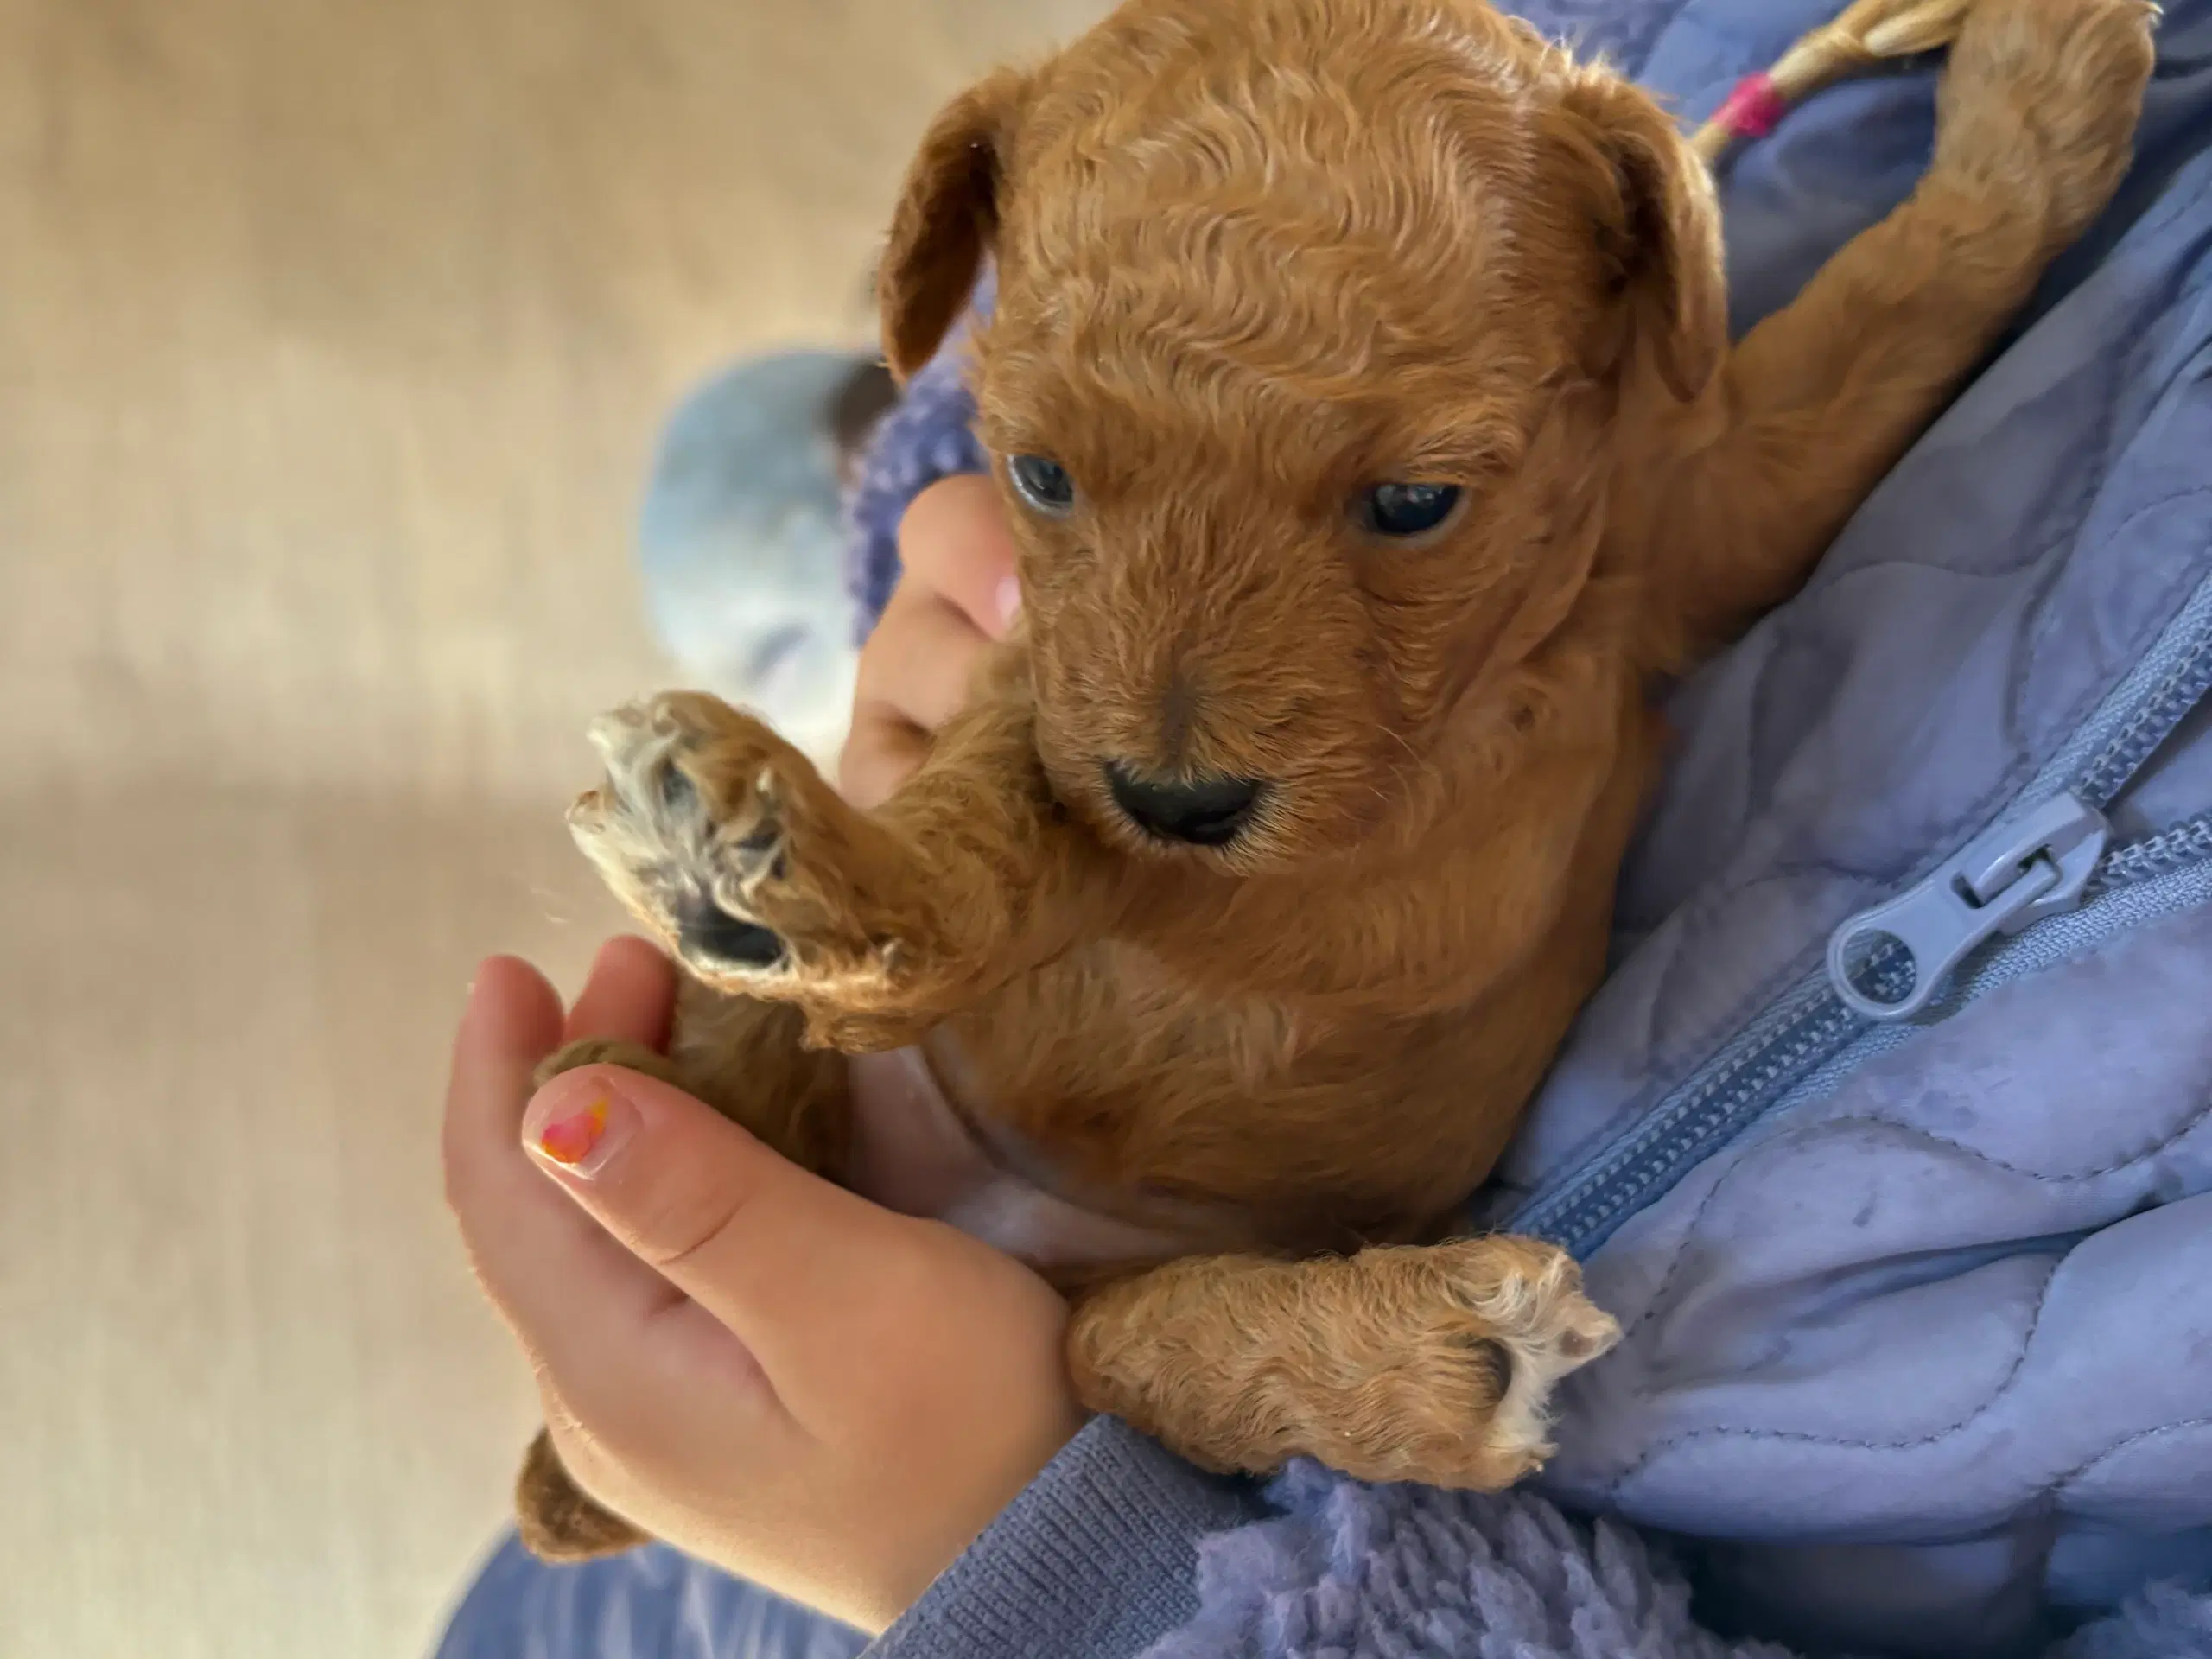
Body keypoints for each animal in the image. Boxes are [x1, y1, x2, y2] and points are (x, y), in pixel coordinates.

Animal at [512, 0, 2141, 1557]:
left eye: (1415, 503)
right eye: (1038, 478)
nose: (1178, 805)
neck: (1487, 688)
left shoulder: (1694, 522)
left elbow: (1904, 295)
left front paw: (2039, 80)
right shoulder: (1082, 725)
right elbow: (1019, 815)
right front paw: (839, 894)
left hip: (1099, 1297)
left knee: (1117, 1349)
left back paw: (1438, 1360)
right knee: (747, 1072)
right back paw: (644, 1039)